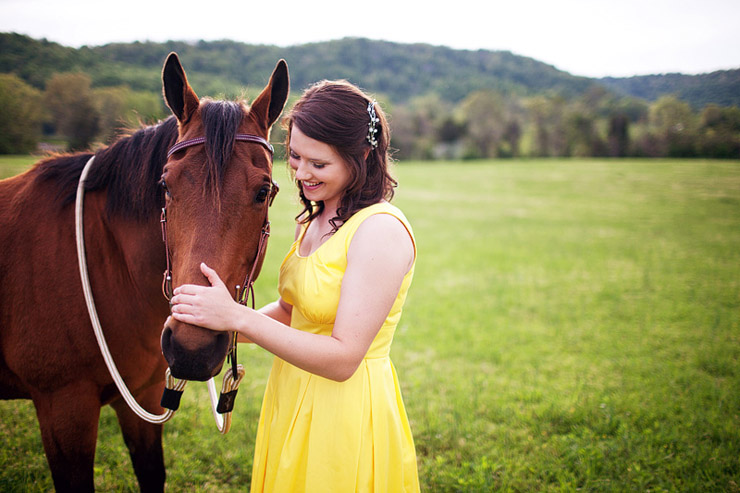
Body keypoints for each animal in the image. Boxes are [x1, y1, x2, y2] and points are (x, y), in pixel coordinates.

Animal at [0, 52, 290, 490]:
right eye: (166, 186)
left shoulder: (144, 397)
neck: (108, 263)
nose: (192, 349)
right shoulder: (63, 408)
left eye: (263, 192)